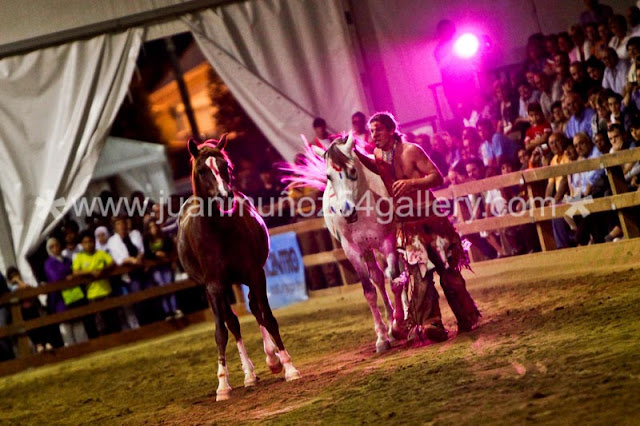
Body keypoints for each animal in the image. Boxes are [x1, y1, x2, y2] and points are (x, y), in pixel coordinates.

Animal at [177, 135, 300, 402]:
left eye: (226, 167)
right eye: (202, 170)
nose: (225, 196)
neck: (220, 230)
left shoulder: (255, 274)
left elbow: (268, 317)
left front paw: (288, 366)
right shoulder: (214, 286)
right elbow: (221, 332)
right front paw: (223, 385)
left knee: (255, 309)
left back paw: (272, 359)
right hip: (220, 289)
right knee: (233, 323)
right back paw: (249, 374)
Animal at [283, 133, 406, 353]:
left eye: (353, 171)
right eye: (328, 176)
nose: (347, 212)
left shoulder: (388, 242)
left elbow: (395, 281)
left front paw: (399, 326)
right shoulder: (353, 250)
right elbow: (369, 291)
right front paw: (382, 337)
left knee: (400, 271)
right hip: (367, 249)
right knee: (378, 278)